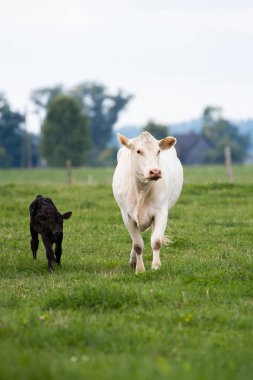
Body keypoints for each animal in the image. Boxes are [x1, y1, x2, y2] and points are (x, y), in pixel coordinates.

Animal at [113, 131, 183, 274]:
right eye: (138, 151)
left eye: (158, 151)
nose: (155, 171)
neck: (142, 189)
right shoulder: (126, 216)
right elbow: (137, 245)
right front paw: (140, 269)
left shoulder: (161, 212)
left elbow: (156, 241)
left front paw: (156, 266)